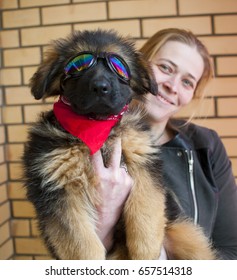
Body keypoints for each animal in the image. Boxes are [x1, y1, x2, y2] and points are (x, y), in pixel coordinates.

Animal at [22, 29, 217, 260]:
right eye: (77, 67)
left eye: (118, 67)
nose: (100, 88)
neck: (98, 126)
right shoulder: (58, 189)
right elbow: (82, 244)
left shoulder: (144, 165)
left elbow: (144, 211)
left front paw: (145, 253)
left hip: (185, 236)